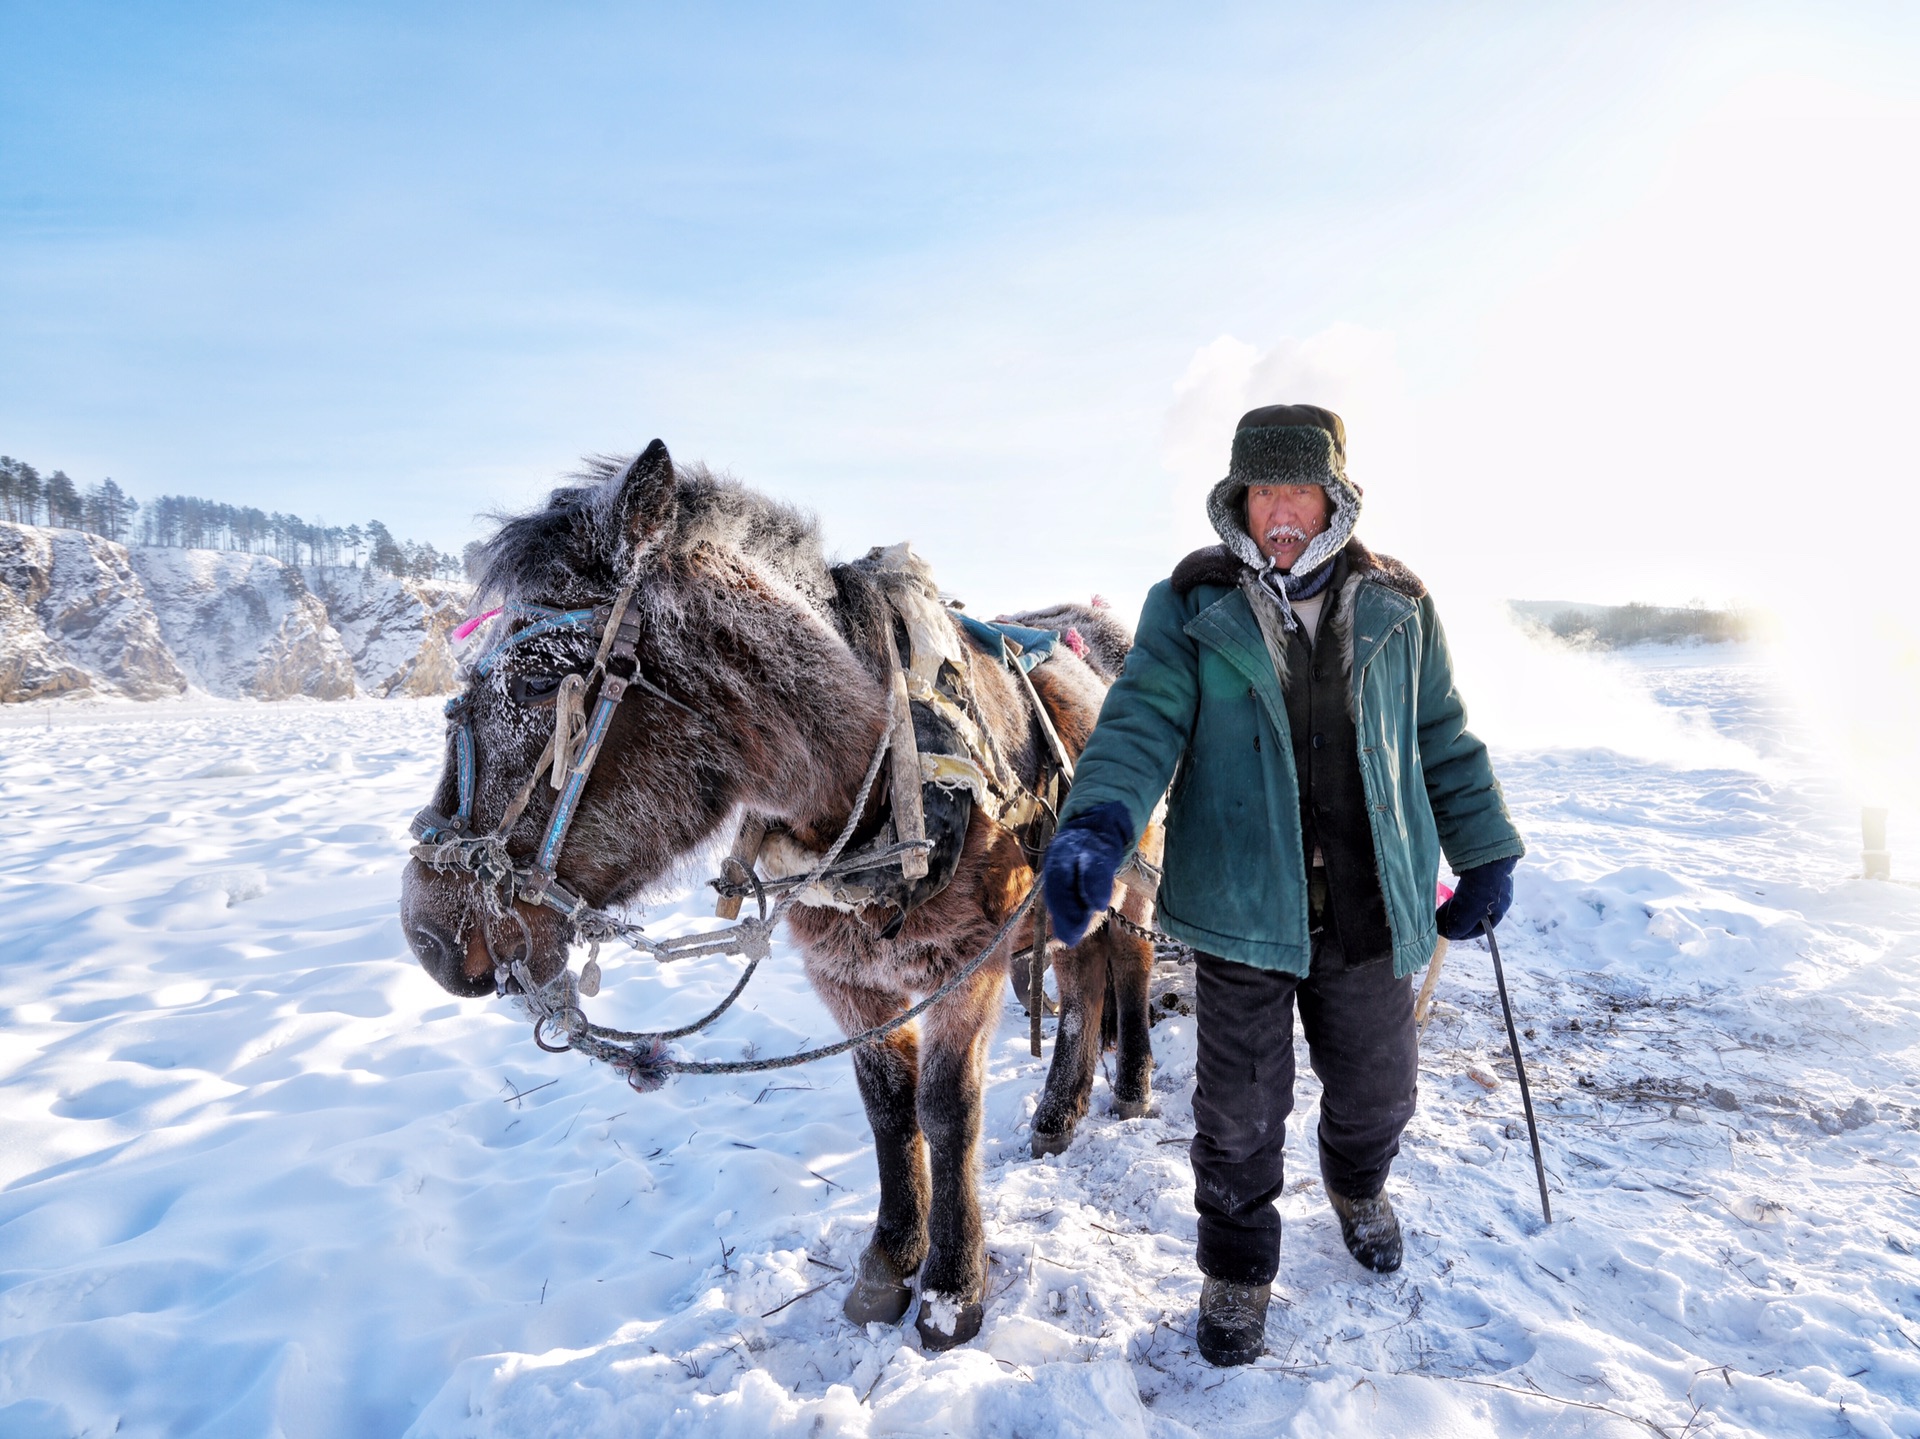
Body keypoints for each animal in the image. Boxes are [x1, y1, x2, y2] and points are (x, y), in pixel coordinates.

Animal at [403, 443, 1152, 1352]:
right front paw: (889, 1260)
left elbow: (947, 1110)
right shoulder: (848, 978)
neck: (892, 779)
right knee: (1080, 984)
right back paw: (1059, 1108)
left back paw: (1132, 1083)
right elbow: (889, 1110)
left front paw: (951, 1286)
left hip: (1133, 886)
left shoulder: (964, 966)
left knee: (1130, 968)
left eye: (545, 686)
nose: (426, 932)